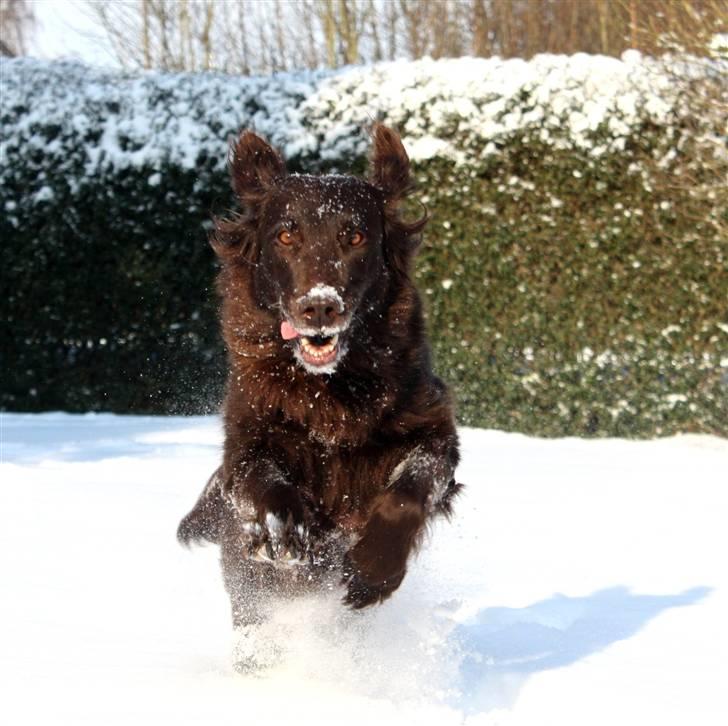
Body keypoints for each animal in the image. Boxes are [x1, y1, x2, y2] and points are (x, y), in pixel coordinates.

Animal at [177, 125, 460, 660]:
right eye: (286, 235)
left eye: (356, 236)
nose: (320, 307)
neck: (327, 389)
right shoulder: (247, 438)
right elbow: (262, 479)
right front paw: (287, 534)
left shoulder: (433, 426)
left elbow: (412, 488)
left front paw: (372, 570)